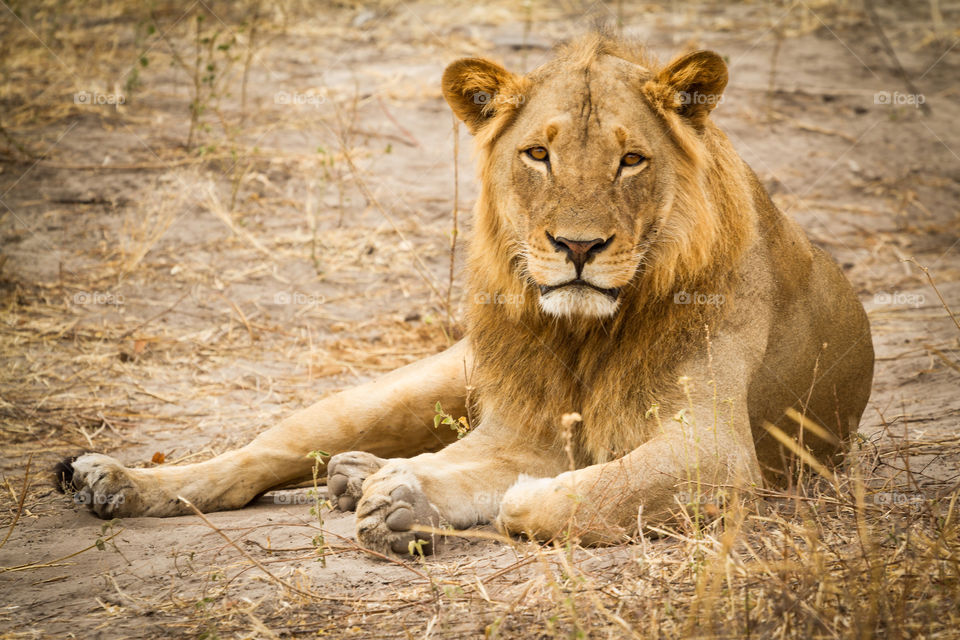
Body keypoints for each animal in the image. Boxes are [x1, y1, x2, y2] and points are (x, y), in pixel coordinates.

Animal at [56, 35, 872, 556]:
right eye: (537, 155)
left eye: (631, 160)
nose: (579, 248)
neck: (585, 333)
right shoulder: (522, 431)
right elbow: (504, 471)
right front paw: (404, 498)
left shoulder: (717, 449)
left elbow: (577, 491)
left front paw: (419, 502)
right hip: (411, 385)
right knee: (260, 455)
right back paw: (114, 481)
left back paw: (360, 478)